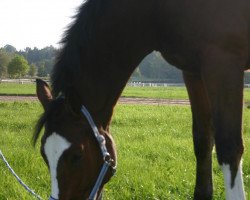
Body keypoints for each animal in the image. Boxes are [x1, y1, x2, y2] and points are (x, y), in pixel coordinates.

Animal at [34, 0, 249, 199]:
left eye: (77, 155)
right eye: (44, 153)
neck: (158, 9)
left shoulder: (223, 64)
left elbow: (229, 147)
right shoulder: (193, 72)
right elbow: (203, 141)